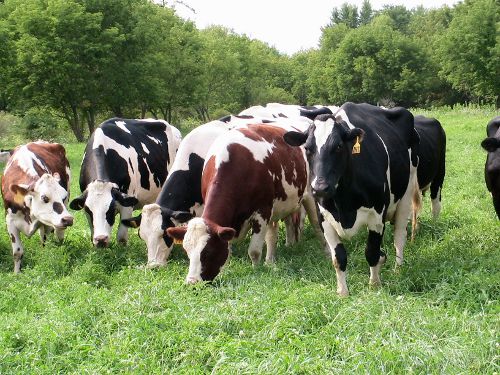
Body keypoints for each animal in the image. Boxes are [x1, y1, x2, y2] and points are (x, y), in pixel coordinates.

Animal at [0, 142, 73, 274]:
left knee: (57, 234)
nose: (68, 219)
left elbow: (45, 242)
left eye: (63, 196)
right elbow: (17, 252)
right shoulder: (10, 220)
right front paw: (16, 273)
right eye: (44, 197)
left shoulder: (47, 222)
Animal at [68, 118, 181, 247]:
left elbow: (121, 237)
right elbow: (92, 229)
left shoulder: (127, 201)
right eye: (88, 210)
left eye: (111, 210)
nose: (101, 239)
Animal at [166, 123, 326, 284]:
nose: (192, 282)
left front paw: (256, 271)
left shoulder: (262, 212)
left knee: (317, 225)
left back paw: (326, 251)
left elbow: (254, 251)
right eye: (187, 251)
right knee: (272, 234)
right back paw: (270, 261)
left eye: (208, 252)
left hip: (309, 196)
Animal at [284, 103, 420, 296]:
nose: (320, 188)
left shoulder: (377, 216)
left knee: (400, 235)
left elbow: (371, 252)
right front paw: (343, 292)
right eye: (308, 148)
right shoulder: (324, 218)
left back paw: (398, 269)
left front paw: (374, 285)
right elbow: (339, 258)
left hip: (406, 193)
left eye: (339, 147)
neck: (343, 202)